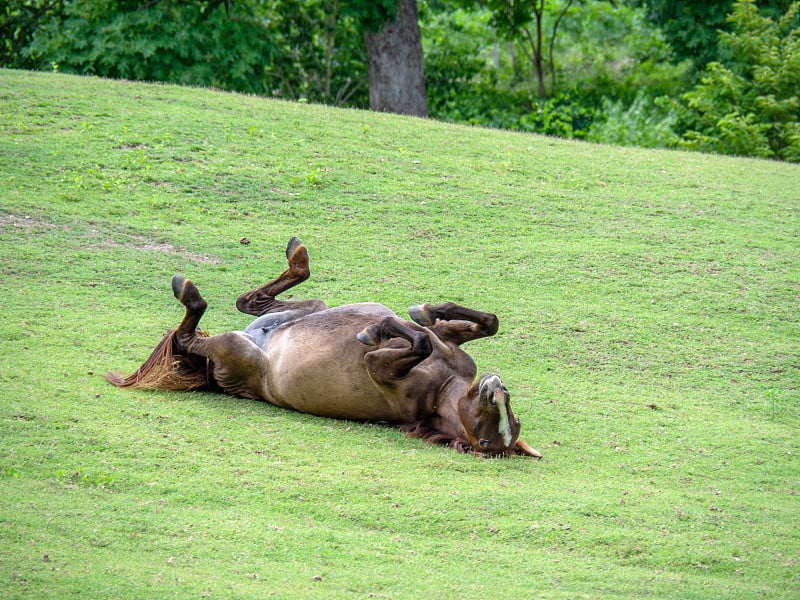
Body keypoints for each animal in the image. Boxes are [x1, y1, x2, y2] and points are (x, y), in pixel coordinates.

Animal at [106, 237, 540, 458]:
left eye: (486, 440)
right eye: (509, 413)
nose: (495, 387)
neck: (442, 387)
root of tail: (213, 373)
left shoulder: (378, 365)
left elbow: (411, 339)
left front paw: (378, 329)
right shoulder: (450, 346)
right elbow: (479, 323)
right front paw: (426, 311)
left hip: (233, 349)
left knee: (190, 335)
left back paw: (191, 295)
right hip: (309, 310)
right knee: (253, 302)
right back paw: (297, 257)